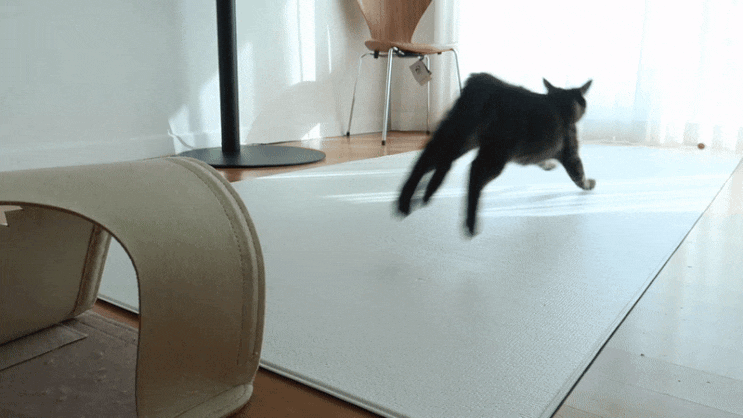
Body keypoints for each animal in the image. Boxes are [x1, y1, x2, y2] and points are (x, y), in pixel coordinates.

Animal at [397, 73, 594, 236]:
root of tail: (482, 80)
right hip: (495, 153)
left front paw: (548, 165)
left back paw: (404, 202)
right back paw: (470, 223)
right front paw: (589, 184)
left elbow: (543, 160)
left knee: (424, 161)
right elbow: (579, 174)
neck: (561, 102)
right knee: (474, 171)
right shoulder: (570, 152)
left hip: (456, 138)